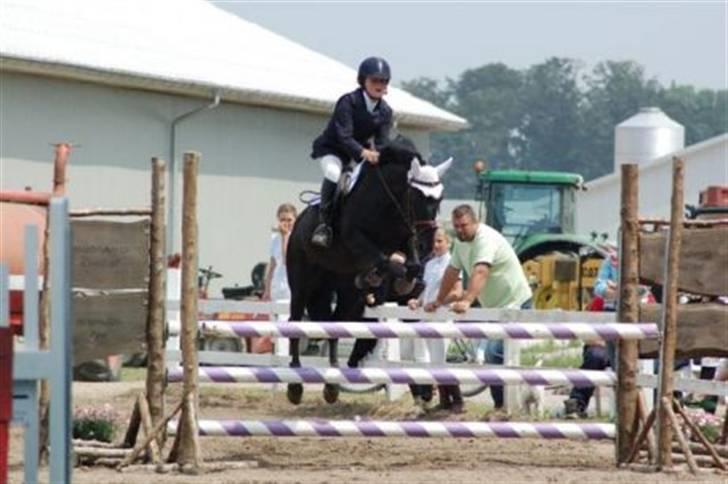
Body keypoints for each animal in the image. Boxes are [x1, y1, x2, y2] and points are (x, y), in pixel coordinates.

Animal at [282, 136, 450, 404]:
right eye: (417, 197)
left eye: (440, 199)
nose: (429, 244)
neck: (389, 201)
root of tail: (298, 223)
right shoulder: (357, 239)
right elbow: (387, 262)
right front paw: (380, 277)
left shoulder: (403, 238)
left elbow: (411, 265)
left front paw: (396, 280)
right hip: (302, 282)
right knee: (295, 322)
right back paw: (295, 384)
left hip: (344, 292)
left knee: (334, 325)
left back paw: (332, 383)